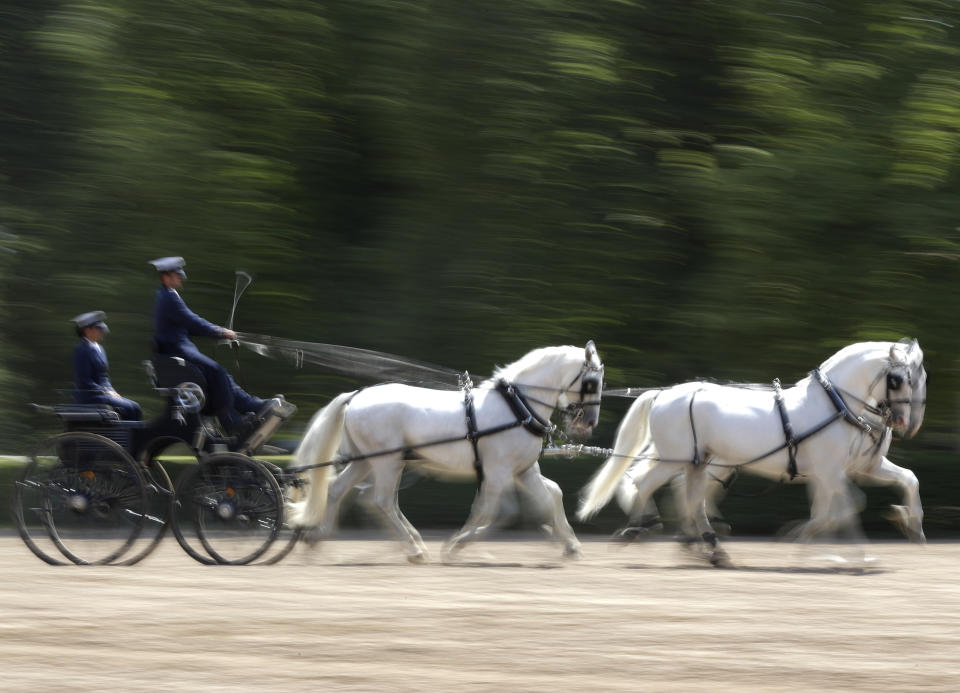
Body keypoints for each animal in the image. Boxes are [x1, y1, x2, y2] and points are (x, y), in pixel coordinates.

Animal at [288, 340, 604, 564]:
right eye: (591, 383)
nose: (588, 424)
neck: (517, 406)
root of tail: (355, 395)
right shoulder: (498, 472)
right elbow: (493, 510)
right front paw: (456, 545)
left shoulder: (523, 471)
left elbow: (551, 495)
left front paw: (569, 544)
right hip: (387, 461)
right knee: (380, 501)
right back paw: (414, 549)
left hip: (366, 461)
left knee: (337, 490)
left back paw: (318, 538)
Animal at [576, 338, 924, 564]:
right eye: (897, 379)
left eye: (922, 379)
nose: (908, 423)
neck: (836, 405)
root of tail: (663, 395)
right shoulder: (830, 472)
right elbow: (845, 507)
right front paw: (851, 554)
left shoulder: (851, 469)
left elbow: (904, 480)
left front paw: (911, 525)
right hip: (680, 459)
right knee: (645, 484)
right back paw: (641, 528)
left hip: (697, 462)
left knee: (687, 496)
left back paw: (707, 545)